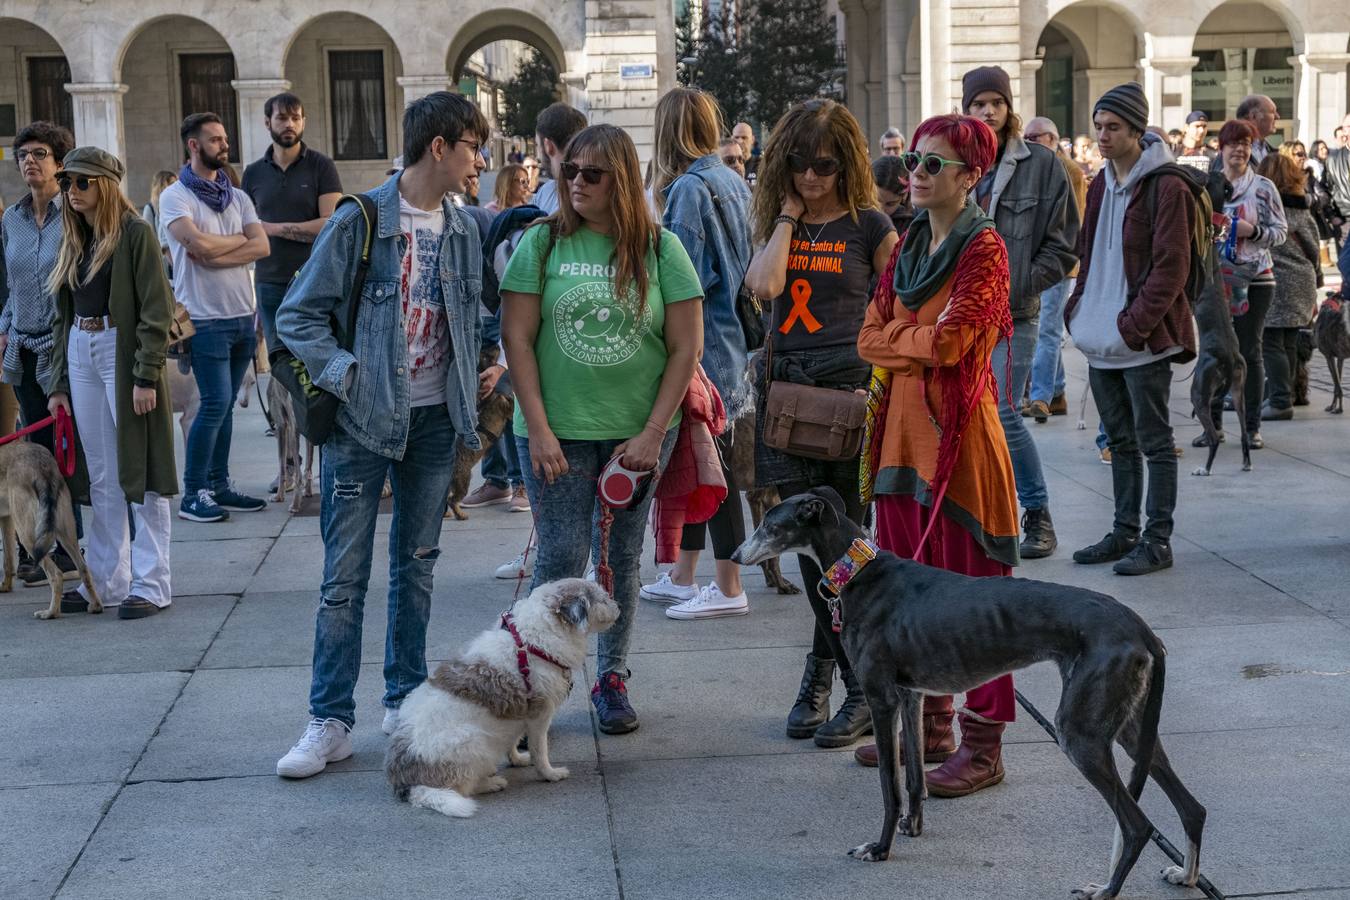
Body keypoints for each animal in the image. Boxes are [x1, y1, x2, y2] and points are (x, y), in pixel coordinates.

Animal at [386, 580, 618, 820]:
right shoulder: (540, 717)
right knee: (463, 789)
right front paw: (550, 774)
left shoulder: (518, 714)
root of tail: (408, 785)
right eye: (602, 598)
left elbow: (513, 740)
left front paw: (517, 759)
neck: (533, 643)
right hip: (471, 739)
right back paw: (491, 783)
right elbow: (540, 750)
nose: (618, 606)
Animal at [734, 493, 1209, 900]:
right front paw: (912, 825)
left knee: (1138, 825)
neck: (860, 572)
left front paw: (880, 848)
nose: (737, 556)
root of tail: (1141, 629)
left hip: (1081, 733)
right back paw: (1185, 875)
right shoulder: (910, 696)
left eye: (769, 525)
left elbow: (889, 785)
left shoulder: (881, 698)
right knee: (1193, 808)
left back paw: (1107, 889)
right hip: (1130, 727)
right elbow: (914, 776)